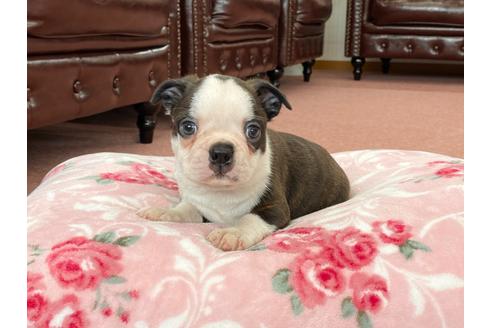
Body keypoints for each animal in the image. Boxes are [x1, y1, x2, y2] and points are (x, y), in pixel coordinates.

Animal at [136, 74, 348, 251]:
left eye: (253, 131)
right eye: (187, 127)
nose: (221, 152)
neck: (221, 192)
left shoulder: (275, 208)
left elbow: (250, 218)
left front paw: (233, 233)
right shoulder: (199, 204)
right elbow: (186, 208)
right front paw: (165, 212)